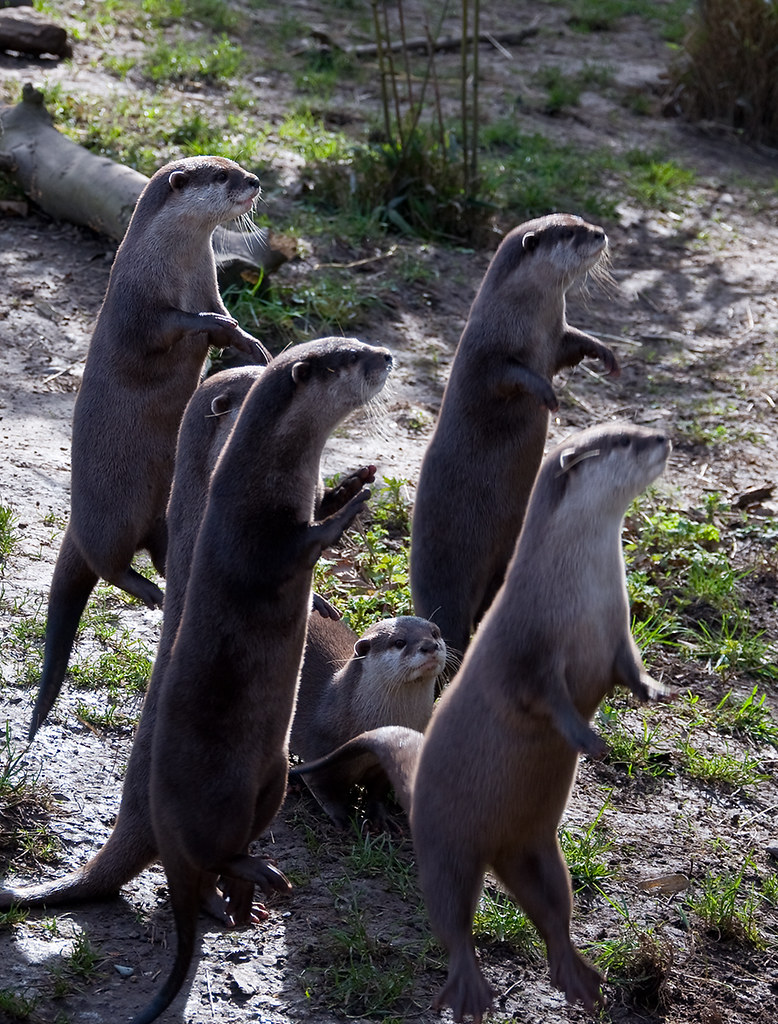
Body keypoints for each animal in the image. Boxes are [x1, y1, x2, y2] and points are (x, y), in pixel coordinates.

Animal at [28, 155, 272, 741]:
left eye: (237, 166)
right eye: (223, 175)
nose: (254, 182)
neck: (173, 269)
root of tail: (75, 522)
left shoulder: (209, 285)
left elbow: (224, 324)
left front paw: (249, 342)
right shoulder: (134, 310)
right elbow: (169, 326)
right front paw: (210, 326)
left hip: (156, 515)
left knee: (162, 554)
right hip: (112, 517)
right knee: (110, 566)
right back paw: (151, 594)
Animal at [128, 337, 392, 1024]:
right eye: (350, 357)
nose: (385, 354)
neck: (264, 480)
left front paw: (349, 484)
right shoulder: (253, 536)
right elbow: (298, 546)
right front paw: (348, 509)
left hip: (271, 778)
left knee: (234, 852)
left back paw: (251, 893)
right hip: (218, 792)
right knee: (215, 852)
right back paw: (252, 881)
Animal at [290, 614, 446, 826]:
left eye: (434, 633)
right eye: (399, 642)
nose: (429, 645)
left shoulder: (384, 763)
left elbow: (378, 791)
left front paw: (380, 817)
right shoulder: (320, 754)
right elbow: (324, 790)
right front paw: (342, 819)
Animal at [411, 213, 619, 657]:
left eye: (580, 220)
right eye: (571, 232)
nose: (600, 233)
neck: (523, 320)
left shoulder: (557, 339)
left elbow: (576, 343)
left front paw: (605, 353)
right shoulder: (486, 356)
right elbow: (512, 376)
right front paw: (547, 395)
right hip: (448, 564)